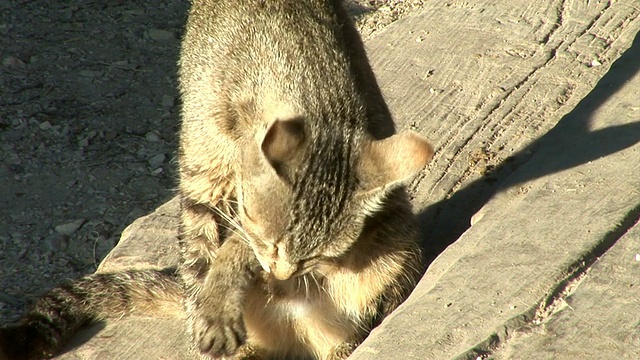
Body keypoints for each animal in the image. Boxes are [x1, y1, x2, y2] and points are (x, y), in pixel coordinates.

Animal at [0, 0, 436, 360]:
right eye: (272, 245)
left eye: (315, 259)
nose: (280, 278)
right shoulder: (203, 184)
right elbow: (211, 259)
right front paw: (212, 311)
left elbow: (234, 249)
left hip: (396, 242)